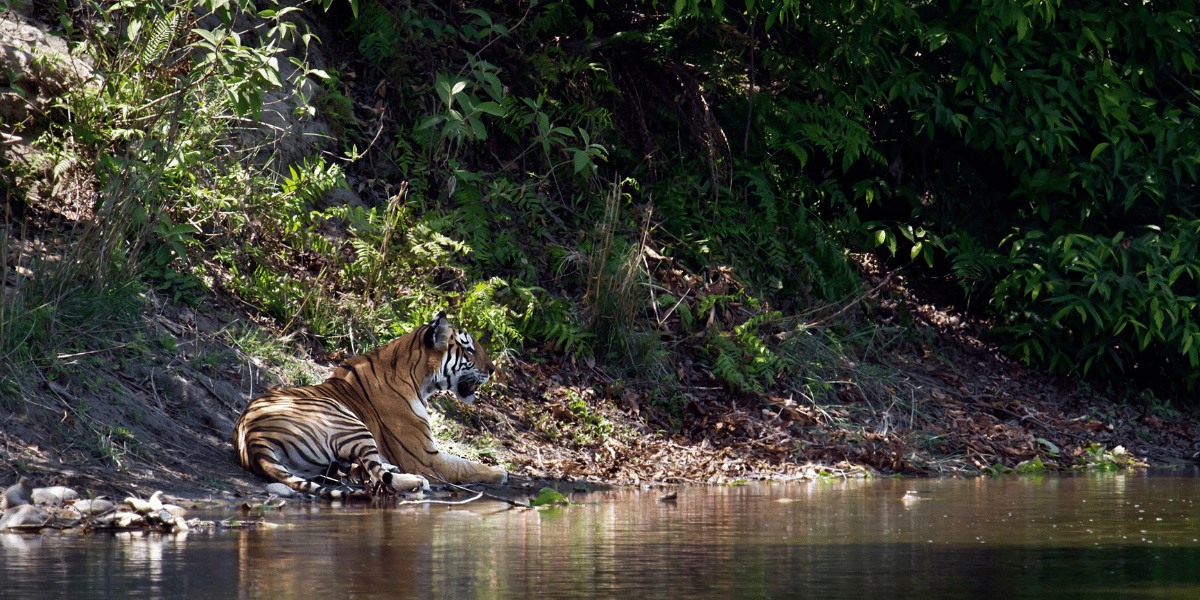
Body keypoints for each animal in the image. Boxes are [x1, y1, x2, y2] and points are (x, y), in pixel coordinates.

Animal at [232, 309, 506, 496]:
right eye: (469, 349)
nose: (493, 370)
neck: (420, 378)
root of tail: (252, 437)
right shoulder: (424, 457)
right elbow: (465, 465)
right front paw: (500, 472)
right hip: (349, 422)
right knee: (379, 475)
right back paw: (415, 481)